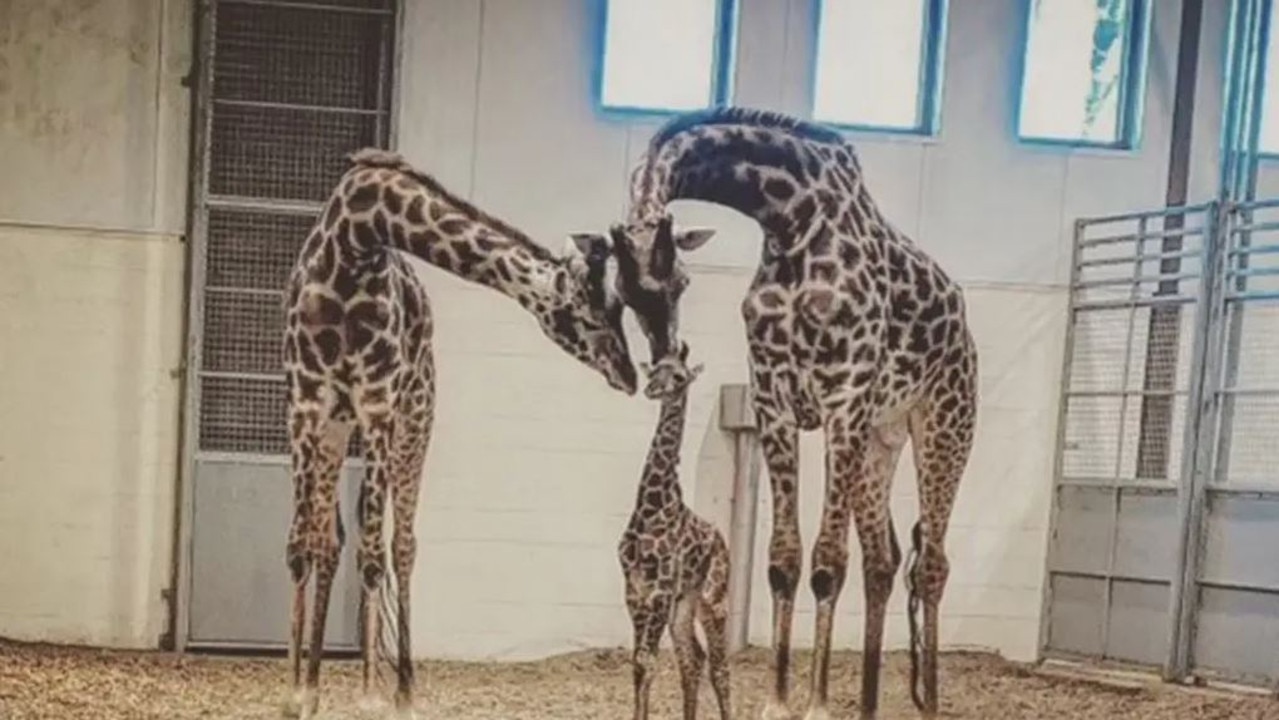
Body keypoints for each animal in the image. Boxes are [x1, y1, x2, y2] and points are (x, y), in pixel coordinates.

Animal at [282, 149, 636, 716]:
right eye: (591, 316)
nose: (630, 376)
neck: (356, 235)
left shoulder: (379, 404)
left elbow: (373, 553)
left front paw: (370, 698)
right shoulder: (305, 403)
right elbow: (301, 544)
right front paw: (296, 692)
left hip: (415, 416)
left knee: (401, 544)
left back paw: (403, 691)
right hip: (340, 427)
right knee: (328, 538)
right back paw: (316, 685)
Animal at [619, 345, 731, 720]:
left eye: (680, 377)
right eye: (654, 370)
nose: (652, 389)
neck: (650, 508)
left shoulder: (660, 592)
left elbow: (647, 661)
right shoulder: (635, 592)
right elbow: (638, 663)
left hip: (712, 599)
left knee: (720, 666)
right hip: (685, 602)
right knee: (692, 658)